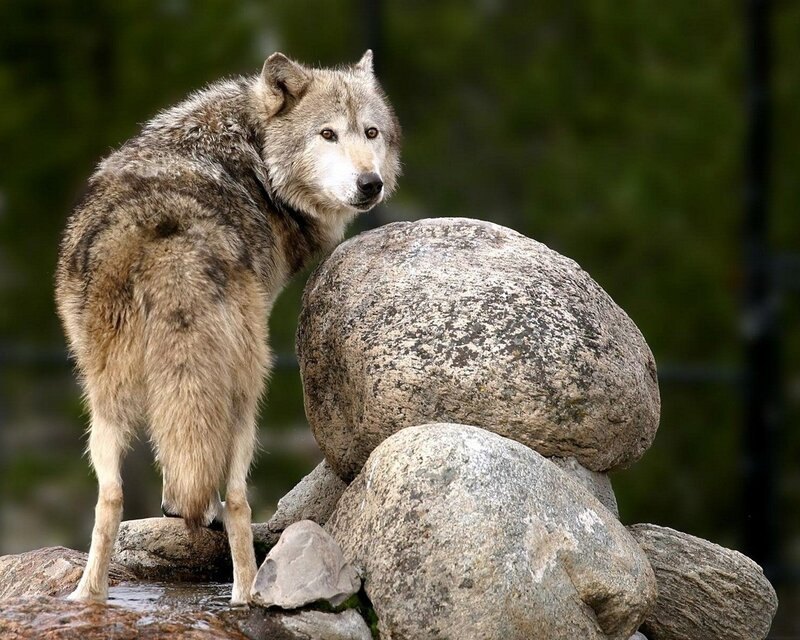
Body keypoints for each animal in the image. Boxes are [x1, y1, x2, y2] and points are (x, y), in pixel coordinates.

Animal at [55, 50, 401, 604]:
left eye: (371, 132)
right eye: (327, 134)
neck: (254, 153)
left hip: (104, 402)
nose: (371, 184)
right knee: (238, 498)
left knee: (110, 499)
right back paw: (246, 595)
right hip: (247, 392)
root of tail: (173, 241)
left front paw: (176, 505)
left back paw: (86, 597)